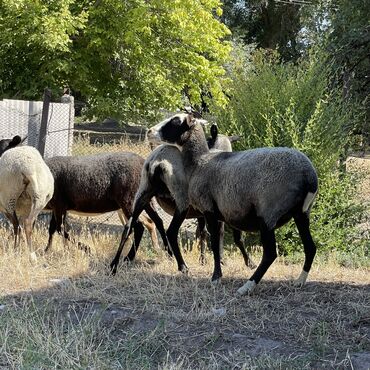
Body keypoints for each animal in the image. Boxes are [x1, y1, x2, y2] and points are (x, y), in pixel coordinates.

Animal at [108, 125, 256, 274]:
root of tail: (157, 161)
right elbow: (231, 236)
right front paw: (246, 262)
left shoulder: (202, 212)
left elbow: (203, 233)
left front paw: (204, 260)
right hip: (180, 201)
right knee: (171, 231)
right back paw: (182, 266)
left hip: (143, 194)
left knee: (129, 227)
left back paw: (115, 264)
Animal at [146, 112, 320, 294]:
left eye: (175, 122)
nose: (149, 131)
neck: (198, 162)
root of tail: (309, 176)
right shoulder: (226, 212)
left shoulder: (208, 209)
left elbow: (215, 242)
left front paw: (216, 277)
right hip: (302, 213)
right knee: (310, 247)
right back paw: (299, 281)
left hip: (268, 213)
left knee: (271, 253)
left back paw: (247, 286)